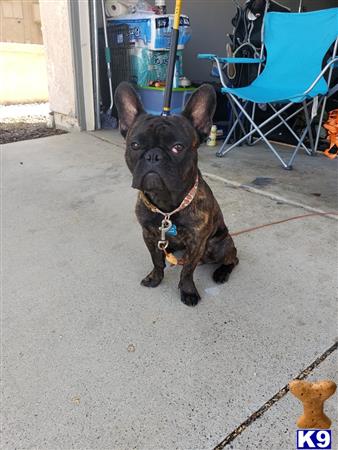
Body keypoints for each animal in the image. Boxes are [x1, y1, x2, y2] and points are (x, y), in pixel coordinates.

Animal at [115, 81, 238, 306]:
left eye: (178, 147)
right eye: (135, 145)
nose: (153, 156)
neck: (166, 206)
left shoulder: (197, 243)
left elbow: (187, 270)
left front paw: (188, 291)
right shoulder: (149, 235)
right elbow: (156, 260)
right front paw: (155, 278)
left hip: (218, 245)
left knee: (233, 257)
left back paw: (221, 273)